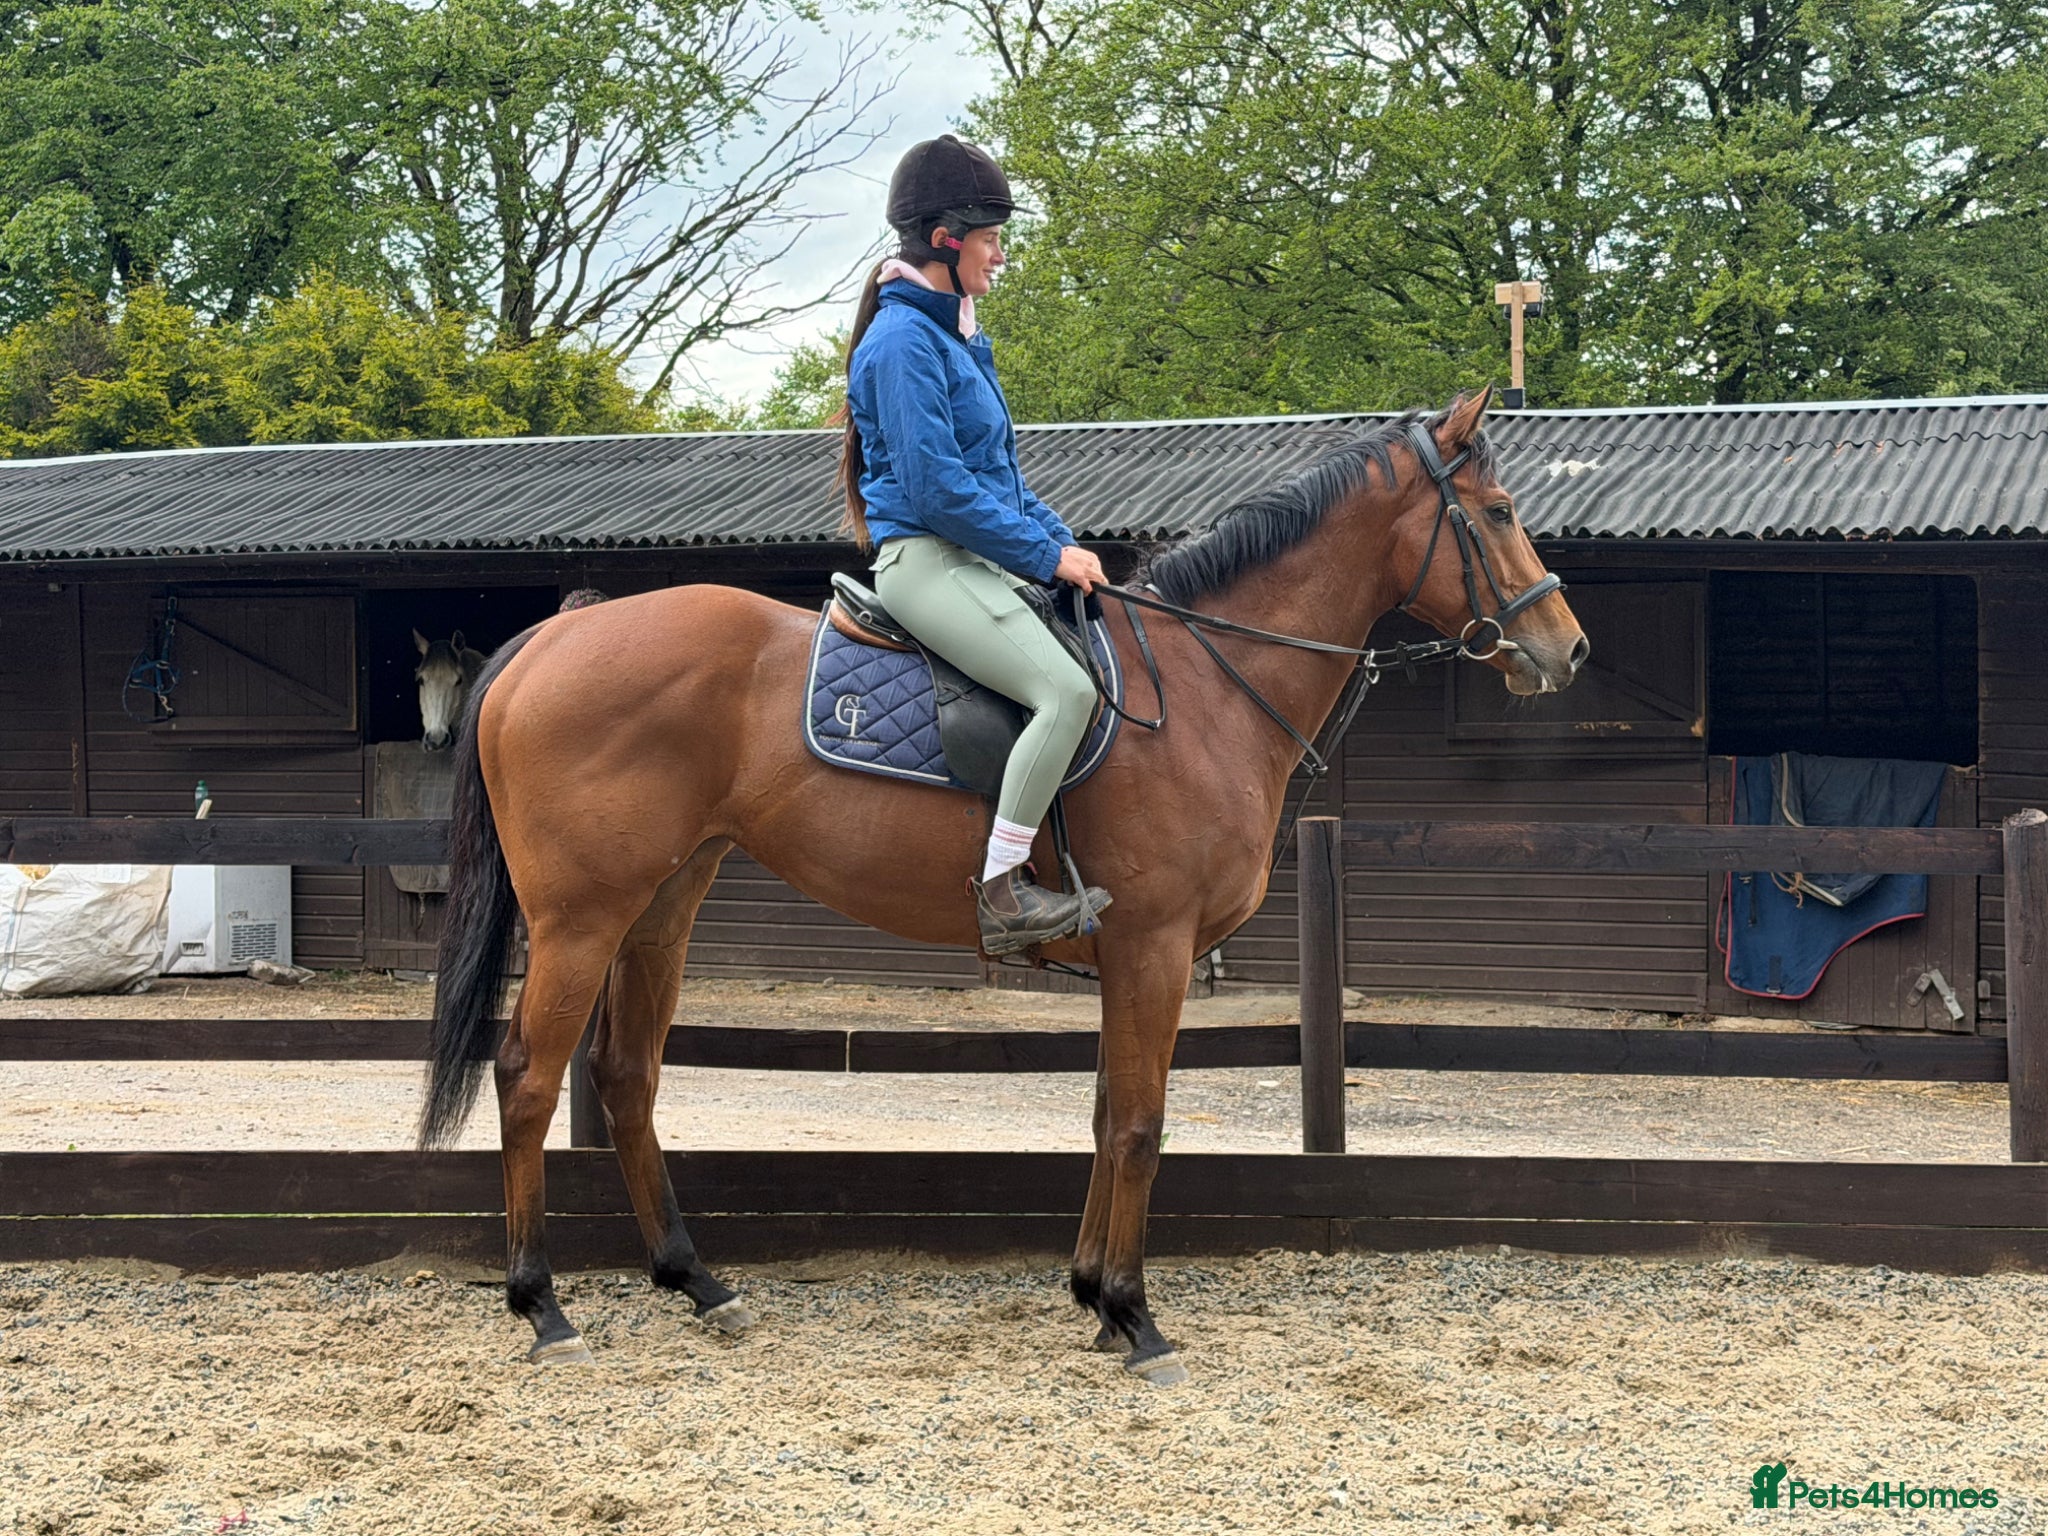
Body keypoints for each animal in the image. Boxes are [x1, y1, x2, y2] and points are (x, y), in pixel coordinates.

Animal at [419, 389, 1589, 1383]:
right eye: (1496, 513)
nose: (1565, 648)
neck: (1207, 687)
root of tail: (552, 636)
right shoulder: (1155, 945)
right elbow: (1140, 1123)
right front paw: (1134, 1315)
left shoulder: (1132, 956)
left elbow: (1106, 1113)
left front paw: (1091, 1293)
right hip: (581, 918)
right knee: (528, 1075)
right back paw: (542, 1306)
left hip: (662, 906)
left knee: (624, 1076)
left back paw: (695, 1282)